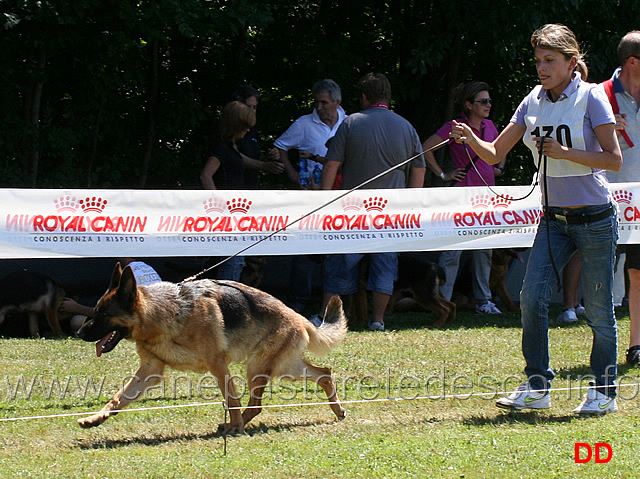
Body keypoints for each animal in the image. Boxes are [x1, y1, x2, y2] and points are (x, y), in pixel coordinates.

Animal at [77, 262, 348, 436]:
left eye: (103, 314)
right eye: (96, 311)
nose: (79, 333)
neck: (167, 313)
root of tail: (298, 317)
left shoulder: (218, 364)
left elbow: (231, 399)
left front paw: (235, 426)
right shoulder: (150, 371)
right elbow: (119, 398)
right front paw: (94, 418)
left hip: (259, 367)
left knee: (257, 404)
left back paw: (235, 426)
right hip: (284, 368)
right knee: (324, 373)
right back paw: (337, 409)